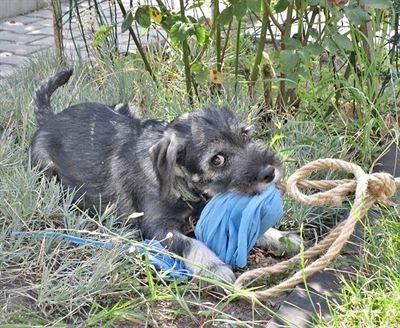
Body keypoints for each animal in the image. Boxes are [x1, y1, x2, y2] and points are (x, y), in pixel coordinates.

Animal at [31, 70, 284, 284]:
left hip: (126, 107)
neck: (181, 184)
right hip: (46, 169)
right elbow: (192, 243)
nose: (270, 172)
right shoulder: (159, 227)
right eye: (217, 159)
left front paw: (280, 238)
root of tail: (50, 119)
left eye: (246, 135)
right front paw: (214, 267)